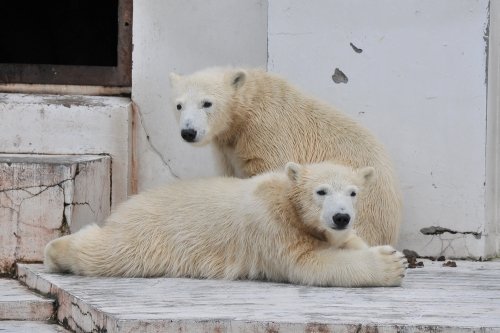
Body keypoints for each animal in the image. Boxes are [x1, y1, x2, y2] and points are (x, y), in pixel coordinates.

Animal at [44, 162, 406, 286]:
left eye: (353, 192)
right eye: (321, 191)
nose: (341, 216)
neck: (286, 200)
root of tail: (128, 204)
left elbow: (343, 243)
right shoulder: (270, 225)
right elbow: (308, 263)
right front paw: (392, 263)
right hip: (152, 233)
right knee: (114, 252)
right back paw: (56, 250)